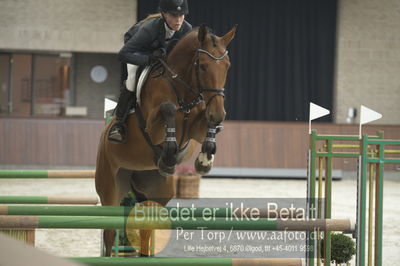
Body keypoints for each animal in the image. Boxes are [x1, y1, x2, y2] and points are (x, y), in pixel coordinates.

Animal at [95, 24, 236, 256]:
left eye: (227, 66)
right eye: (203, 66)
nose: (219, 114)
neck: (181, 86)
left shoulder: (195, 130)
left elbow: (205, 124)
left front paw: (205, 159)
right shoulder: (152, 126)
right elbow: (168, 108)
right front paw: (169, 156)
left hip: (155, 192)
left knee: (145, 229)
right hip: (110, 188)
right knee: (108, 231)